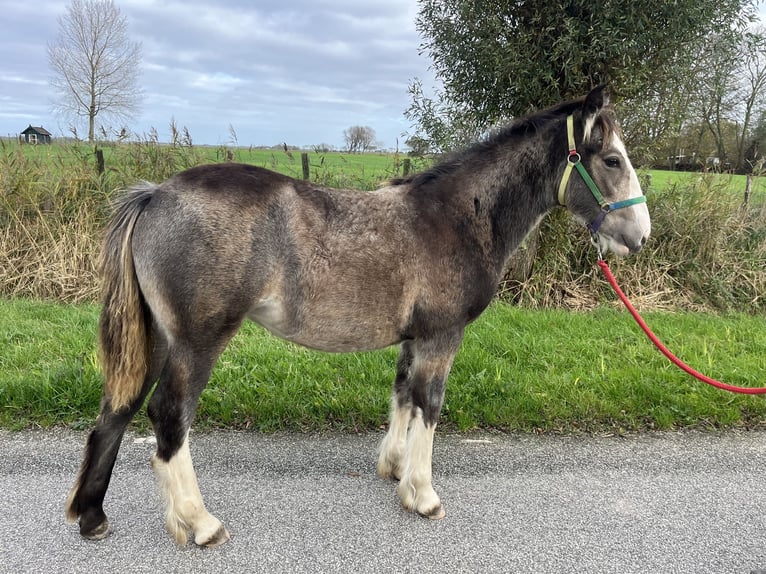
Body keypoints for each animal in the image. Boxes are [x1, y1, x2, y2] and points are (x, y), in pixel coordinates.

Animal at [67, 86, 656, 548]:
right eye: (611, 160)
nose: (639, 236)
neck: (458, 217)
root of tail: (155, 194)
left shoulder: (414, 337)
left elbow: (403, 396)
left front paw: (395, 470)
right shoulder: (442, 336)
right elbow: (429, 404)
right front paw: (423, 494)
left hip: (156, 338)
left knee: (118, 408)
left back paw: (92, 516)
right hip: (196, 342)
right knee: (169, 416)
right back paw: (199, 523)